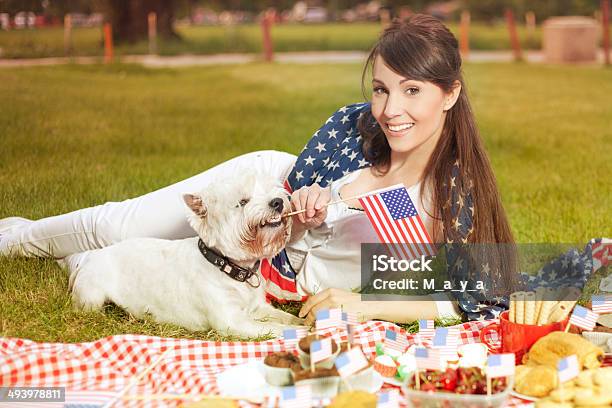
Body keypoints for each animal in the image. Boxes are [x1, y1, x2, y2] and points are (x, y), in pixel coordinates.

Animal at [65, 172, 304, 338]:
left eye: (273, 191)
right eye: (243, 202)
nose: (278, 202)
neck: (226, 266)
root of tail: (86, 262)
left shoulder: (258, 308)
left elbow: (286, 318)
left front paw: (302, 321)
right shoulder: (232, 321)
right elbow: (272, 327)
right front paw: (305, 332)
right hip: (92, 298)